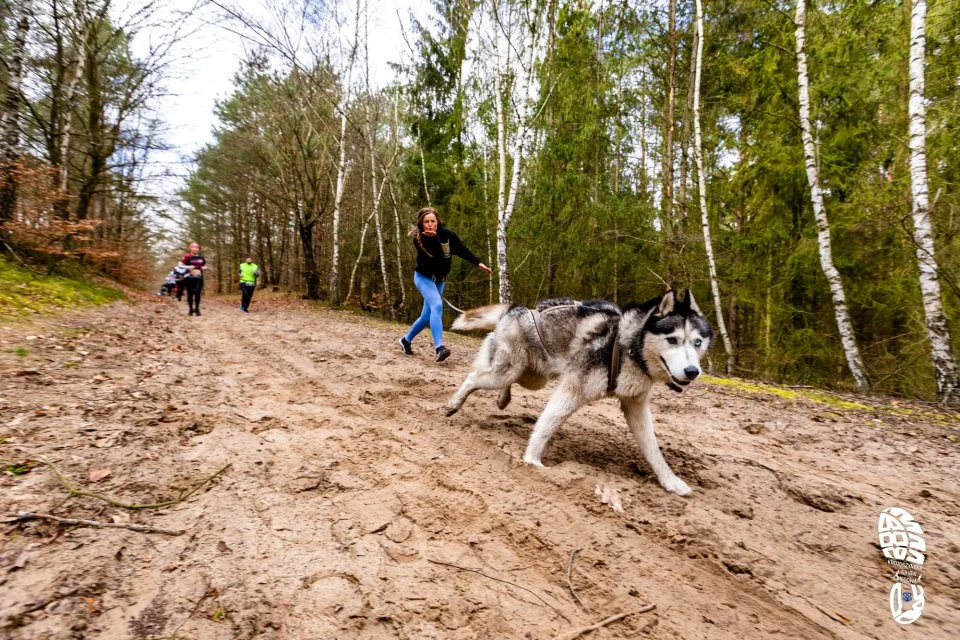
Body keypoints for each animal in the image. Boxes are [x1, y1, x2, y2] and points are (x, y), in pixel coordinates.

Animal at [446, 290, 708, 496]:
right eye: (672, 340)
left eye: (697, 342)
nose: (692, 371)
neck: (628, 347)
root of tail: (516, 309)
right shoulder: (572, 391)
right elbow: (546, 425)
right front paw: (532, 461)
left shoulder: (636, 405)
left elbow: (653, 449)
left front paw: (670, 481)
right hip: (507, 372)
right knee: (474, 377)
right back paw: (454, 404)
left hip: (531, 377)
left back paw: (503, 398)